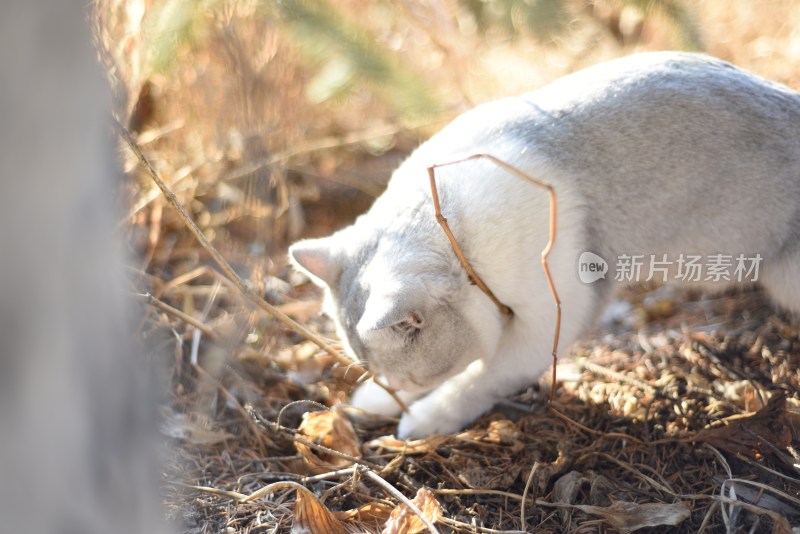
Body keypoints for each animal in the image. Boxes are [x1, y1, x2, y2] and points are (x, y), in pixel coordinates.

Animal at [290, 52, 796, 440]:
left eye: (417, 375)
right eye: (394, 378)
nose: (397, 383)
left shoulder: (551, 319)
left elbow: (477, 381)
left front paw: (422, 418)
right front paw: (377, 401)